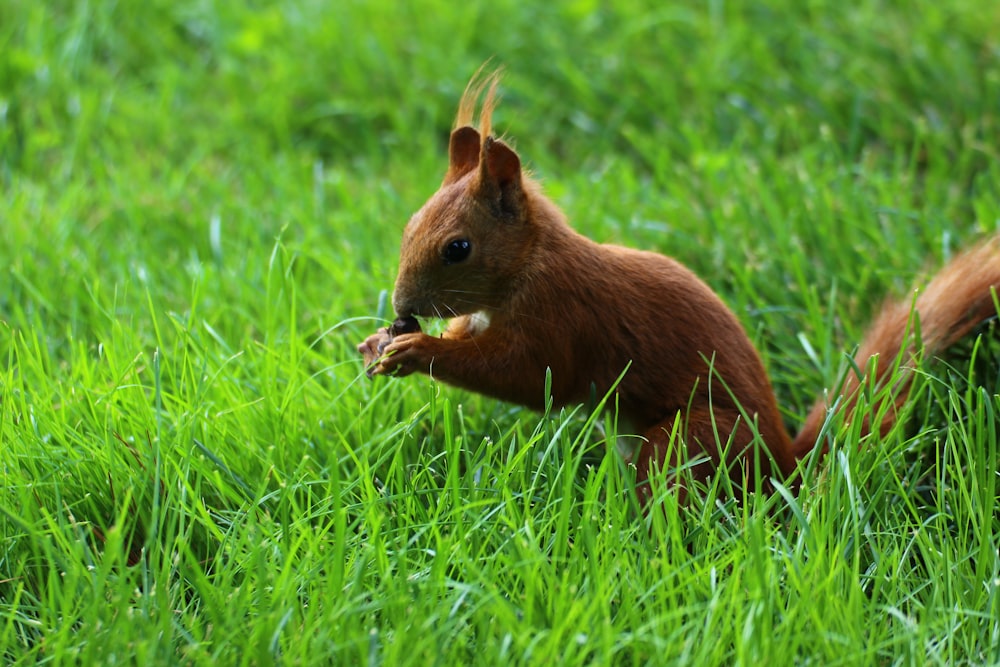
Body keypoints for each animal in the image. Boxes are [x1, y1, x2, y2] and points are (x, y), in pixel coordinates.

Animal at [358, 72, 1000, 500]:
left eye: (458, 248)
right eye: (410, 224)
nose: (403, 305)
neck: (530, 265)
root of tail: (782, 465)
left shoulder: (562, 317)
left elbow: (527, 376)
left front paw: (417, 349)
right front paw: (377, 345)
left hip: (689, 441)